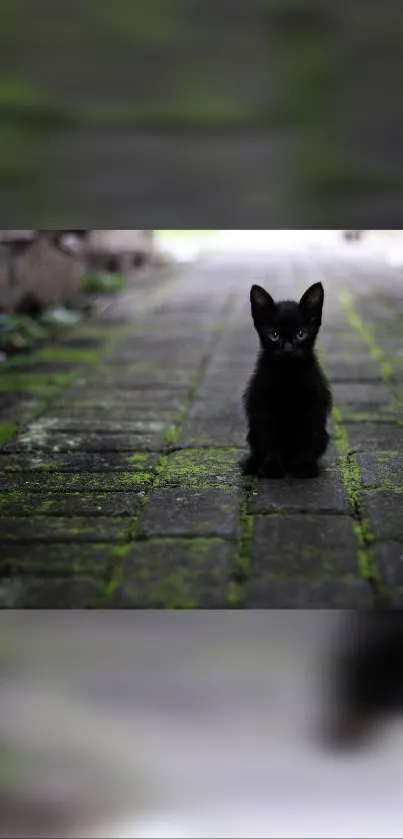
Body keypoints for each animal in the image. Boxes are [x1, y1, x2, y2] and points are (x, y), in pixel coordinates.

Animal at [241, 282, 332, 480]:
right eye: (274, 335)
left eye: (301, 334)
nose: (288, 349)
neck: (288, 374)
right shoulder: (263, 407)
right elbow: (269, 438)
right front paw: (272, 468)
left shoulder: (313, 404)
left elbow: (309, 436)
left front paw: (305, 467)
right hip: (253, 431)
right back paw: (253, 464)